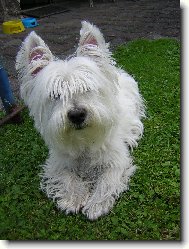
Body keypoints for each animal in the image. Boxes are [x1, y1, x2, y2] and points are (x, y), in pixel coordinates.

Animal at [16, 21, 145, 220]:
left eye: (86, 88)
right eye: (55, 94)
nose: (77, 115)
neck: (83, 141)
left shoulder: (117, 158)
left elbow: (108, 178)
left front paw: (96, 204)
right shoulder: (58, 162)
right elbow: (67, 177)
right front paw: (73, 198)